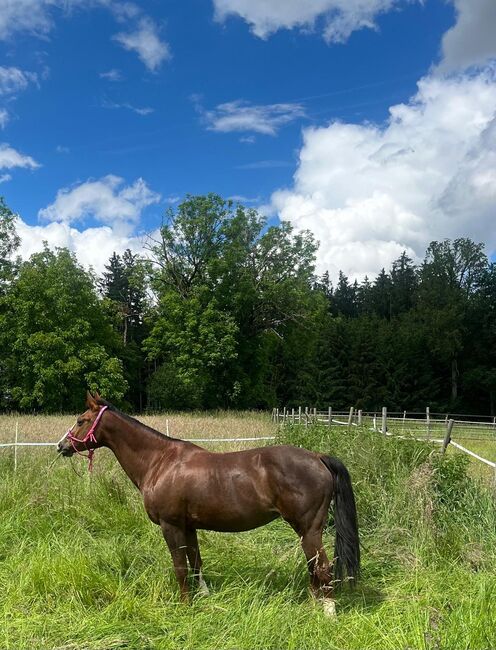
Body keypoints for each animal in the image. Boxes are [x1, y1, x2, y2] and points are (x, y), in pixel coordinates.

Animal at [57, 390, 360, 612]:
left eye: (81, 420)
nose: (61, 446)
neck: (161, 461)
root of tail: (318, 457)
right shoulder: (188, 526)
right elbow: (196, 563)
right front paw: (202, 596)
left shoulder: (171, 526)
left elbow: (180, 567)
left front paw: (184, 605)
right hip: (304, 530)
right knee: (313, 566)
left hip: (309, 528)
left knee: (322, 567)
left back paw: (327, 611)